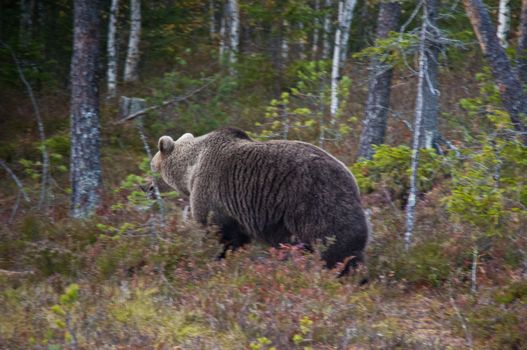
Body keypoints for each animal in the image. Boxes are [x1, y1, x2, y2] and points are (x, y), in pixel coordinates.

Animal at [151, 127, 370, 274]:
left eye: (153, 165)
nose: (148, 187)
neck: (191, 169)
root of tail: (352, 180)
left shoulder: (211, 191)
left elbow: (219, 234)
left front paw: (213, 257)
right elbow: (237, 237)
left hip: (316, 204)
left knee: (334, 247)